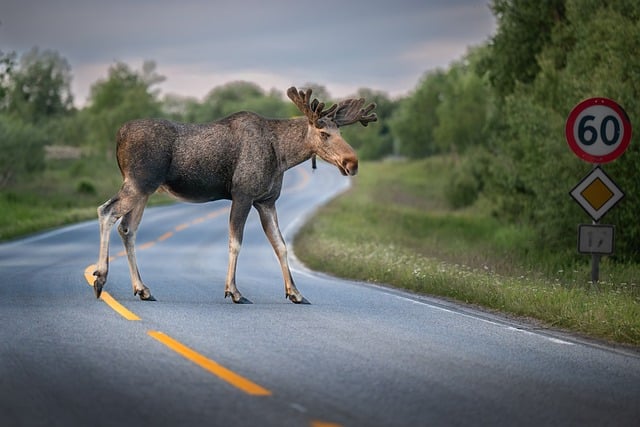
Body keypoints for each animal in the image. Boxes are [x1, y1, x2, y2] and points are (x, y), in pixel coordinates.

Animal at [92, 86, 376, 304]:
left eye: (341, 132)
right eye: (323, 133)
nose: (352, 162)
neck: (283, 156)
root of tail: (119, 136)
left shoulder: (266, 201)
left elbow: (280, 245)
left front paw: (295, 293)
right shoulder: (243, 194)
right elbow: (236, 242)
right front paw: (234, 291)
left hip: (146, 190)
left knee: (127, 228)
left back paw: (142, 288)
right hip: (139, 183)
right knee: (106, 211)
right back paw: (100, 278)